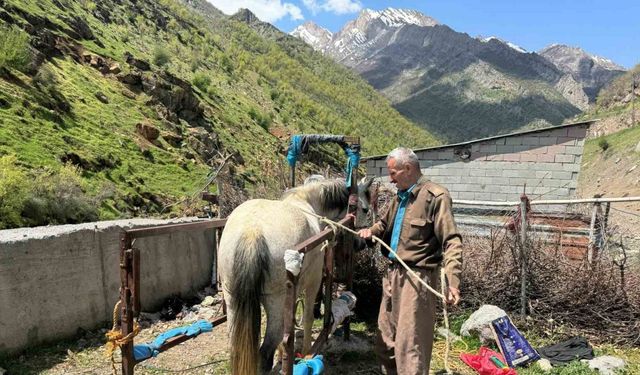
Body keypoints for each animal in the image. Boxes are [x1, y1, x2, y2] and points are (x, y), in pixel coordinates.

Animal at [219, 179, 372, 375]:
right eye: (365, 209)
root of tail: (251, 233)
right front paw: (306, 355)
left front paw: (283, 355)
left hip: (233, 299)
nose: (362, 243)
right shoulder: (313, 282)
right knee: (264, 354)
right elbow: (308, 318)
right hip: (276, 303)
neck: (306, 201)